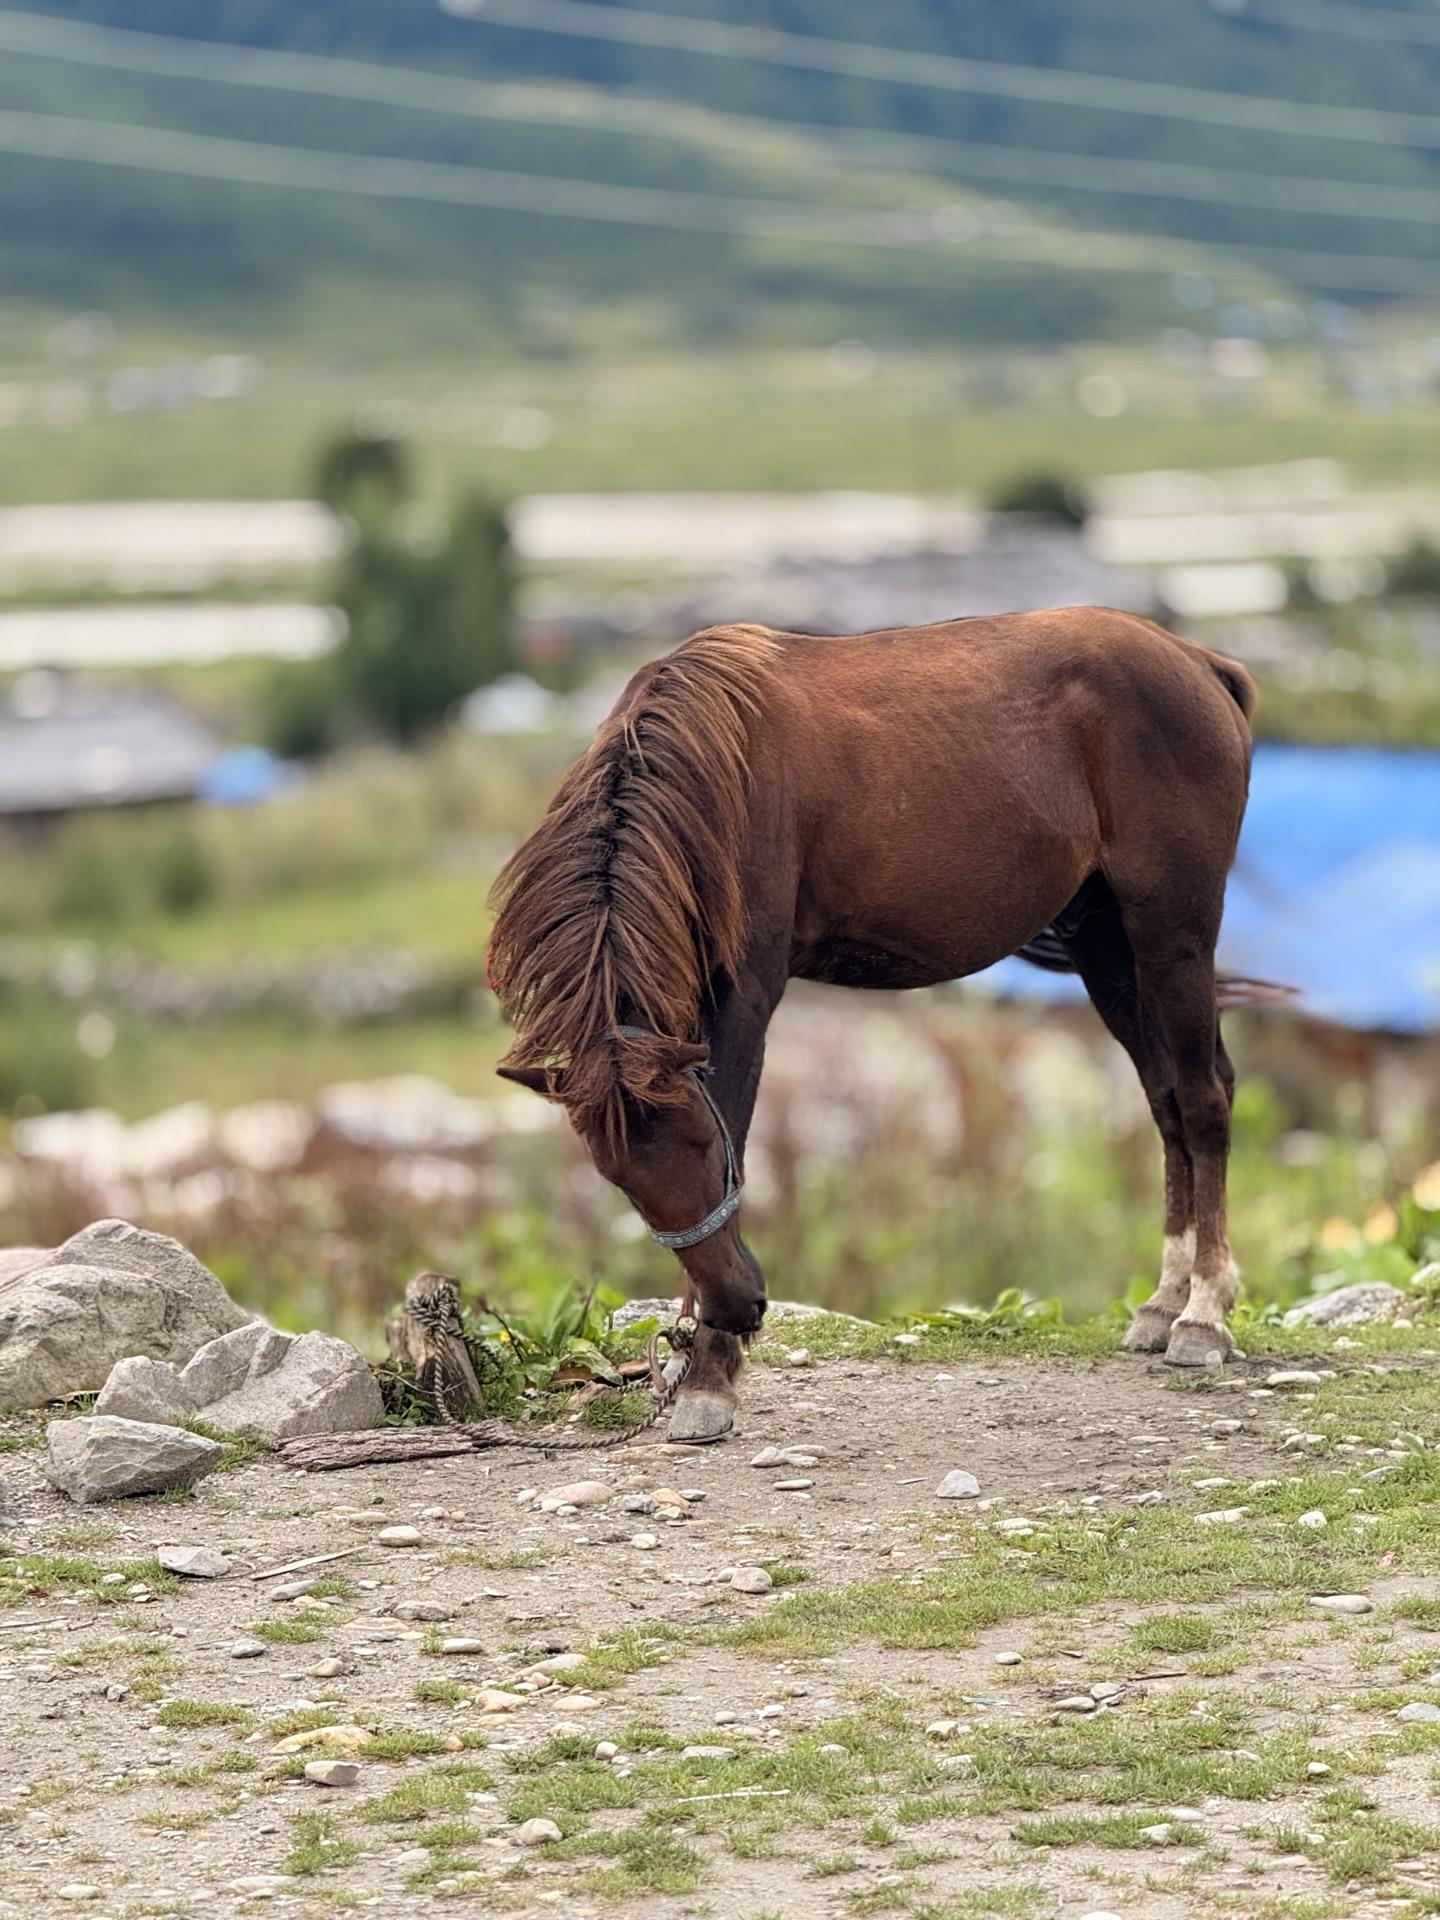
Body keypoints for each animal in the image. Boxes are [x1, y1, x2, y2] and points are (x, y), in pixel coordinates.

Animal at [488, 608, 1260, 1442]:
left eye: (697, 1143)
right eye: (618, 1174)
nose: (742, 1305)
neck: (712, 771)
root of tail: (1197, 662)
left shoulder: (747, 996)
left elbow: (741, 1128)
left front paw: (710, 1372)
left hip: (1173, 934)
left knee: (1204, 1101)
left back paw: (1203, 1314)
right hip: (1106, 942)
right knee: (1167, 1100)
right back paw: (1164, 1302)